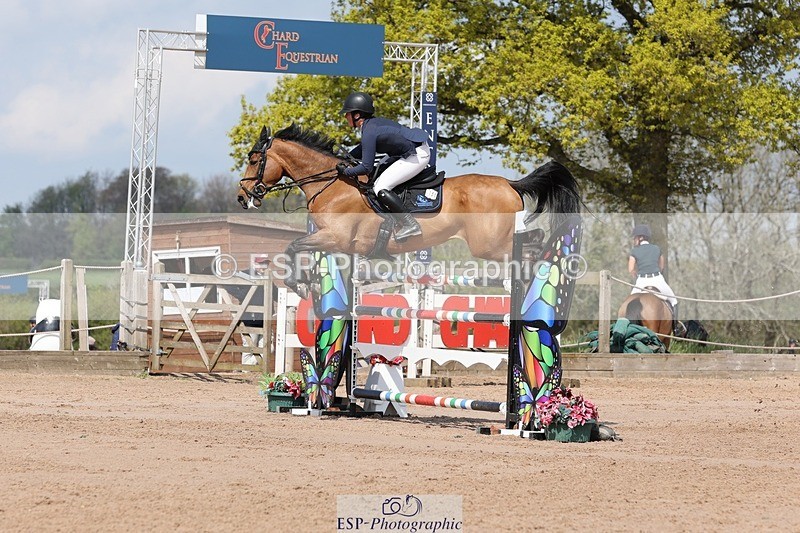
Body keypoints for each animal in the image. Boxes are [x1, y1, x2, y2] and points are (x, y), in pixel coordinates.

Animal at [237, 124, 581, 296]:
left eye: (254, 160)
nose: (242, 197)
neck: (333, 185)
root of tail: (510, 183)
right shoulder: (337, 243)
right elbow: (295, 247)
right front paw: (303, 282)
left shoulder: (336, 237)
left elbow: (292, 245)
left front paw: (298, 283)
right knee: (533, 242)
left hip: (489, 245)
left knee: (532, 243)